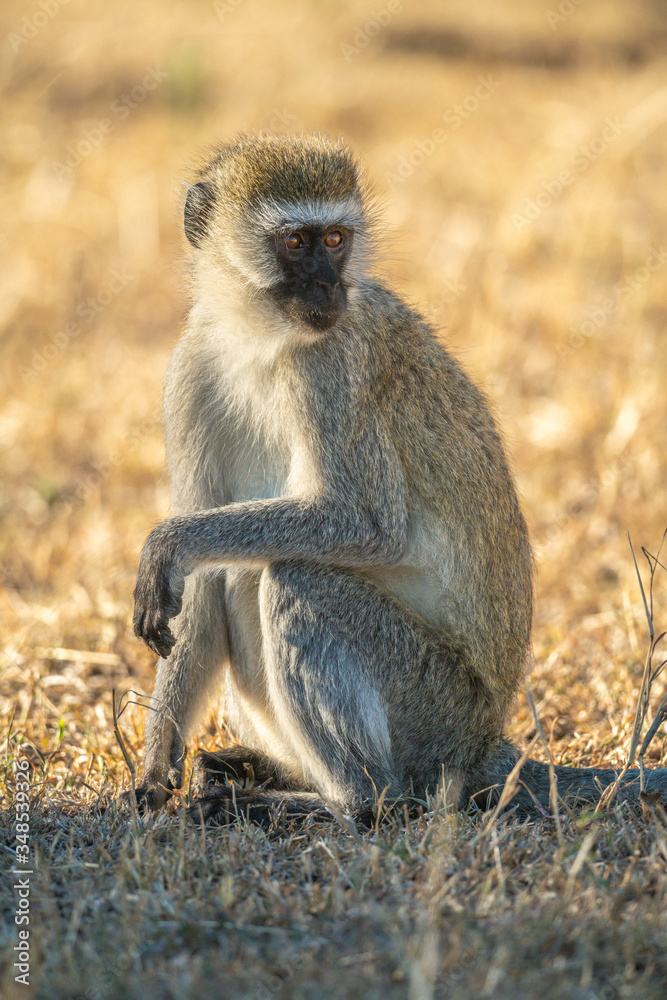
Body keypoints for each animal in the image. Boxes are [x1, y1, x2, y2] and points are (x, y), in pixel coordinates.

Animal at [133, 133, 664, 820]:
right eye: (297, 242)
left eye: (336, 239)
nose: (328, 287)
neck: (259, 341)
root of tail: (484, 742)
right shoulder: (190, 370)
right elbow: (195, 590)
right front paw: (154, 767)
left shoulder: (335, 366)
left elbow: (367, 525)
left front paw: (167, 542)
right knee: (239, 574)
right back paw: (274, 773)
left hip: (434, 711)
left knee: (294, 577)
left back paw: (345, 803)